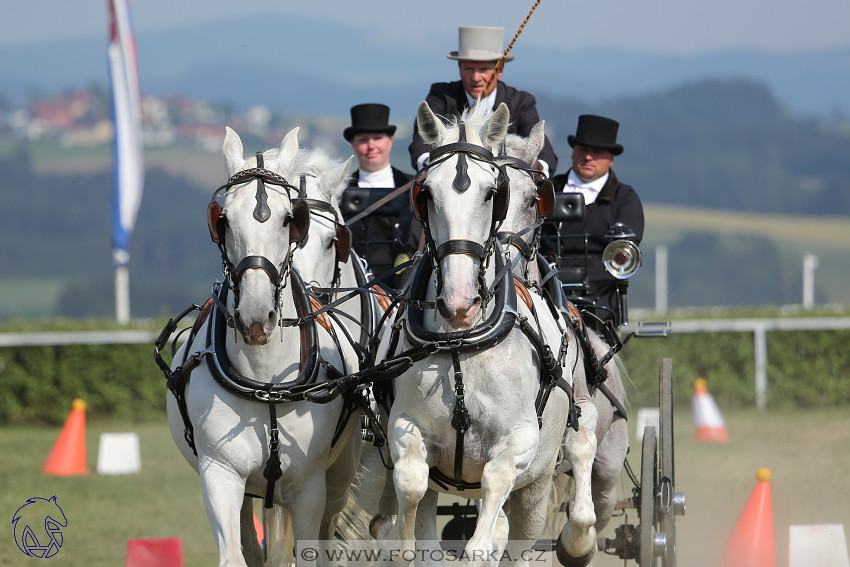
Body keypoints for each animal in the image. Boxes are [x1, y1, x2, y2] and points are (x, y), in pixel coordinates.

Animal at [165, 126, 362, 564]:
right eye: (223, 220)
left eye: (290, 219)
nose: (256, 319)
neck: (266, 378)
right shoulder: (220, 474)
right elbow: (235, 555)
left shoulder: (309, 487)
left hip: (338, 475)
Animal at [372, 103, 584, 567]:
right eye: (425, 194)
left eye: (492, 193)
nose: (459, 302)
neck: (460, 343)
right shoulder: (406, 426)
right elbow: (411, 482)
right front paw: (400, 544)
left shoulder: (519, 438)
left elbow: (496, 482)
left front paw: (481, 546)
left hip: (539, 483)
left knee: (519, 534)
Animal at [494, 122, 628, 564]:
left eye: (533, 198)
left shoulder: (580, 410)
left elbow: (578, 444)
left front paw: (576, 542)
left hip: (611, 459)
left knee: (602, 499)